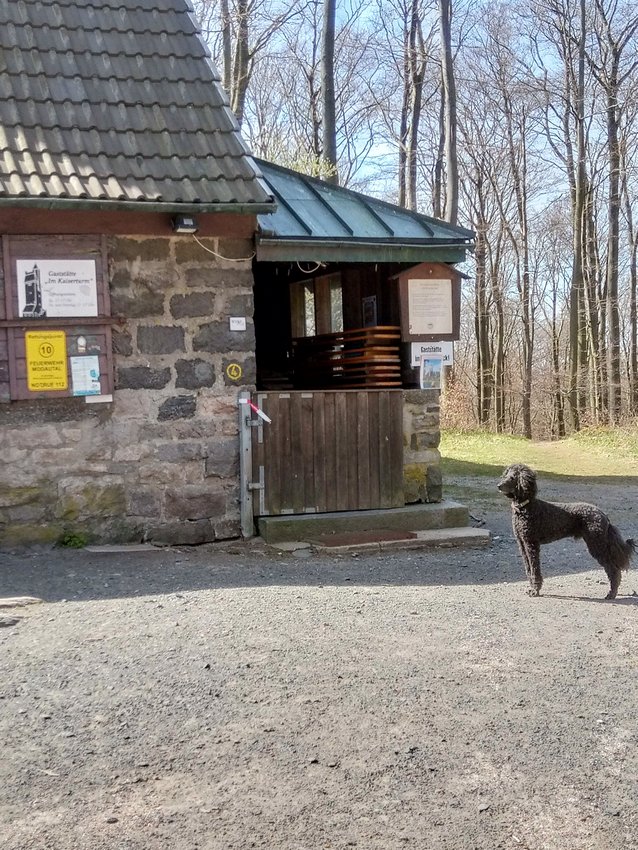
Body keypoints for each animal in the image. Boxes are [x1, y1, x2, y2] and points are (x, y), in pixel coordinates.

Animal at [500, 464, 636, 596]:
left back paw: (611, 594)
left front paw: (535, 591)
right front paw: (532, 588)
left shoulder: (531, 544)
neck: (525, 508)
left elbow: (535, 569)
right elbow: (529, 569)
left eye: (512, 478)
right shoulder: (522, 543)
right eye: (506, 475)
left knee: (613, 569)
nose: (499, 486)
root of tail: (603, 515)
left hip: (597, 544)